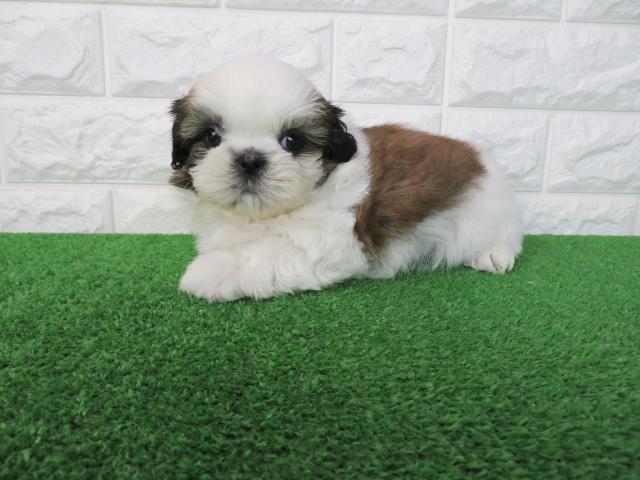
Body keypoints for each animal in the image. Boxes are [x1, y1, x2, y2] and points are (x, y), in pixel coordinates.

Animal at [169, 56, 523, 302]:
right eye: (211, 136)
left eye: (291, 141)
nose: (250, 159)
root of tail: (480, 158)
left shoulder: (333, 238)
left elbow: (266, 252)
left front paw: (210, 271)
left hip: (487, 210)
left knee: (507, 236)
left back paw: (493, 254)